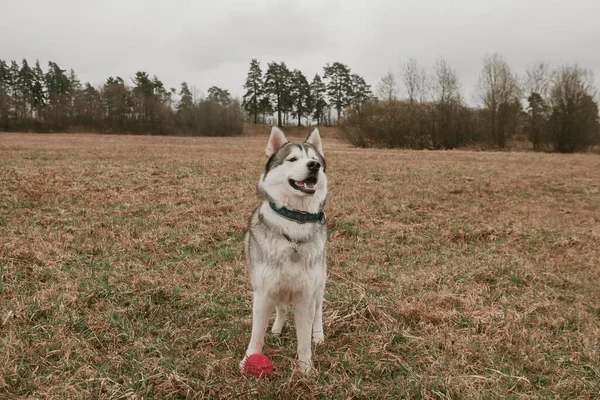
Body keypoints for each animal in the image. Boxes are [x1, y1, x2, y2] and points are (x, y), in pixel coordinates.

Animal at [240, 126, 328, 374]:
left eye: (315, 160)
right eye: (293, 159)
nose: (314, 166)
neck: (294, 222)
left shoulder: (305, 296)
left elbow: (304, 338)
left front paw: (305, 368)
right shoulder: (264, 292)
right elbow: (256, 334)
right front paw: (248, 360)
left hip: (319, 285)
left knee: (318, 311)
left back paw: (319, 335)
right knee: (281, 310)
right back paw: (277, 329)